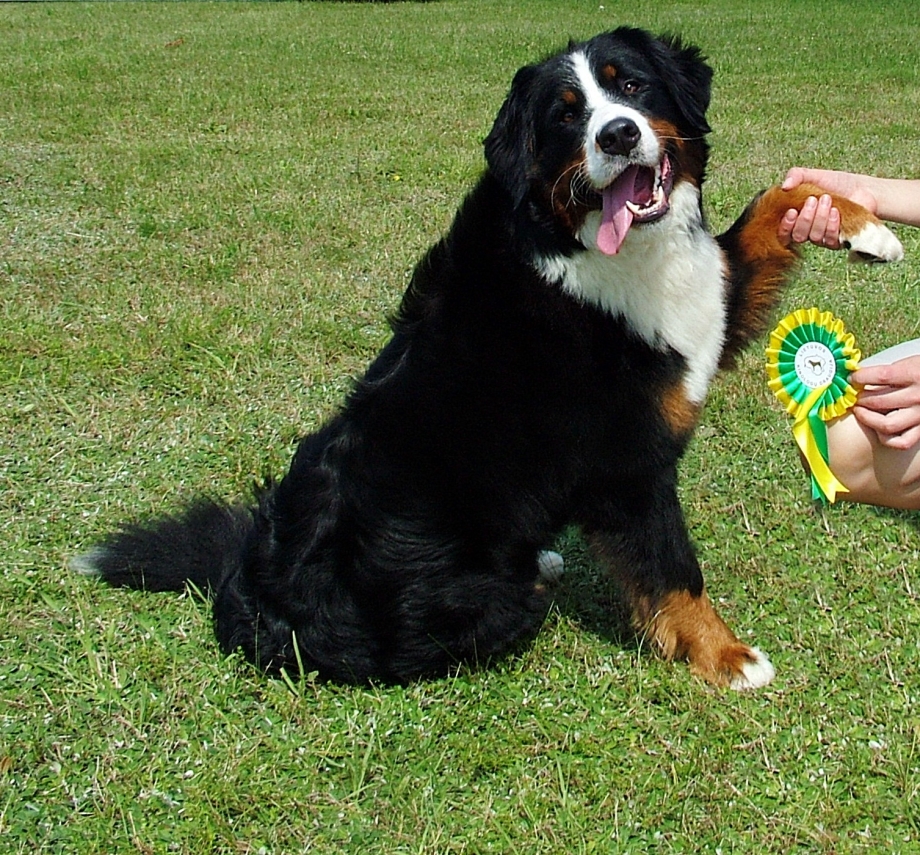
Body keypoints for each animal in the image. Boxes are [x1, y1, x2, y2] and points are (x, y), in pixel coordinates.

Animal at [75, 28, 904, 688]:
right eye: (566, 115)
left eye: (631, 86)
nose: (617, 136)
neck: (581, 246)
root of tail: (249, 581)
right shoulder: (628, 465)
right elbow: (673, 570)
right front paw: (726, 655)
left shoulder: (705, 308)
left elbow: (777, 200)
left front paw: (864, 226)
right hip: (488, 597)